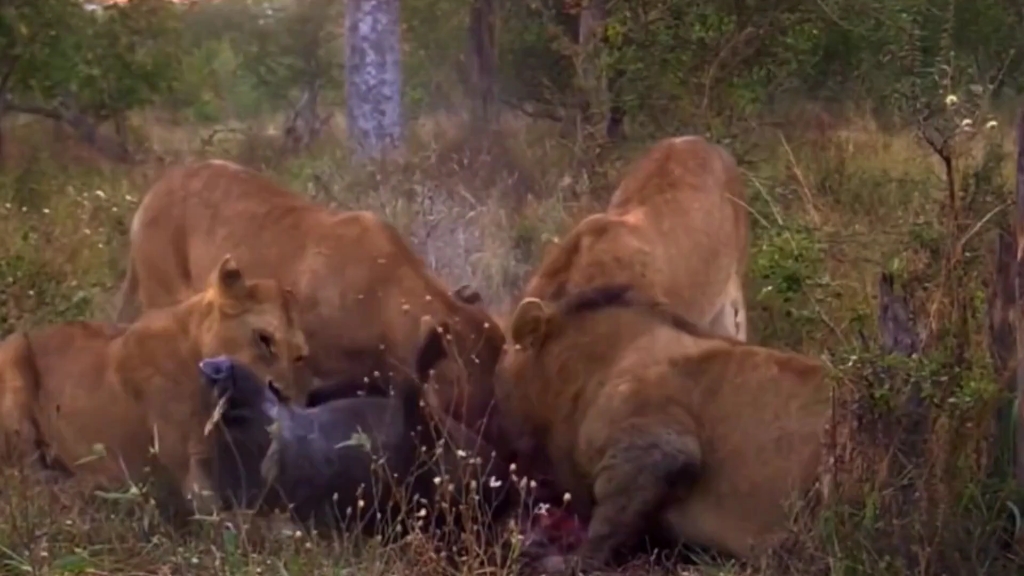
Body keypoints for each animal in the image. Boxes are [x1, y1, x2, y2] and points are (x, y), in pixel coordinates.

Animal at [1, 255, 311, 520]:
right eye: (263, 338)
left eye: (298, 357)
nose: (282, 394)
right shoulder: (191, 479)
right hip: (14, 358)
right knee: (28, 477)